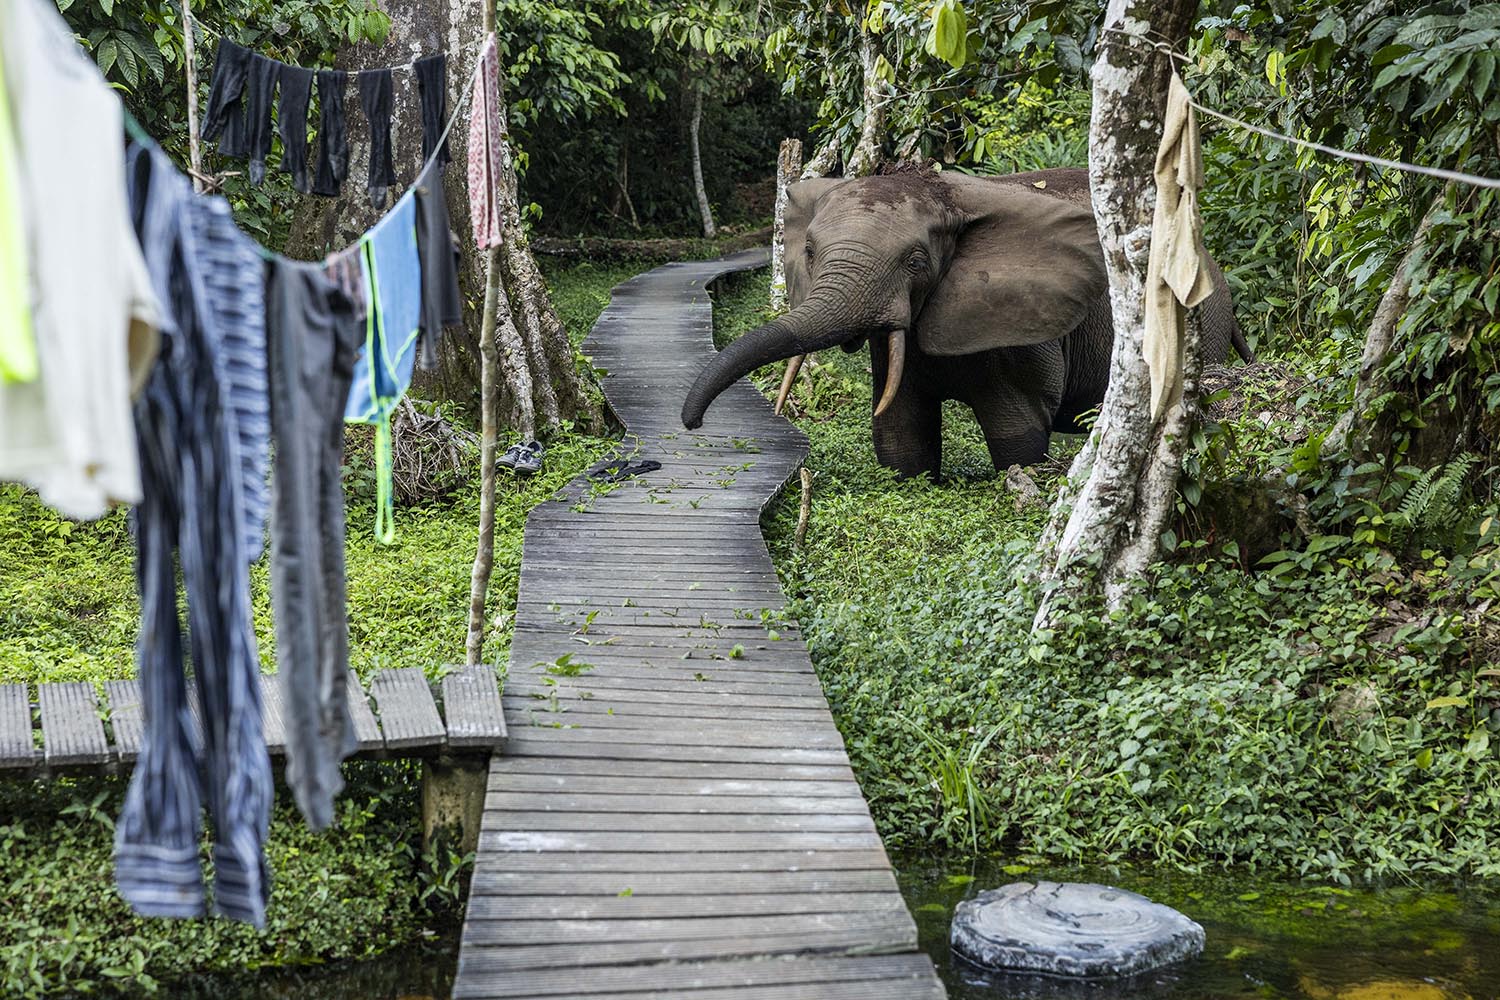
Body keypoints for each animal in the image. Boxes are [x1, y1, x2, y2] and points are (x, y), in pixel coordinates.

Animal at [681, 167, 1249, 479]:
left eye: (916, 261)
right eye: (811, 253)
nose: (693, 425)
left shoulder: (1019, 321)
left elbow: (1018, 430)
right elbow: (899, 432)